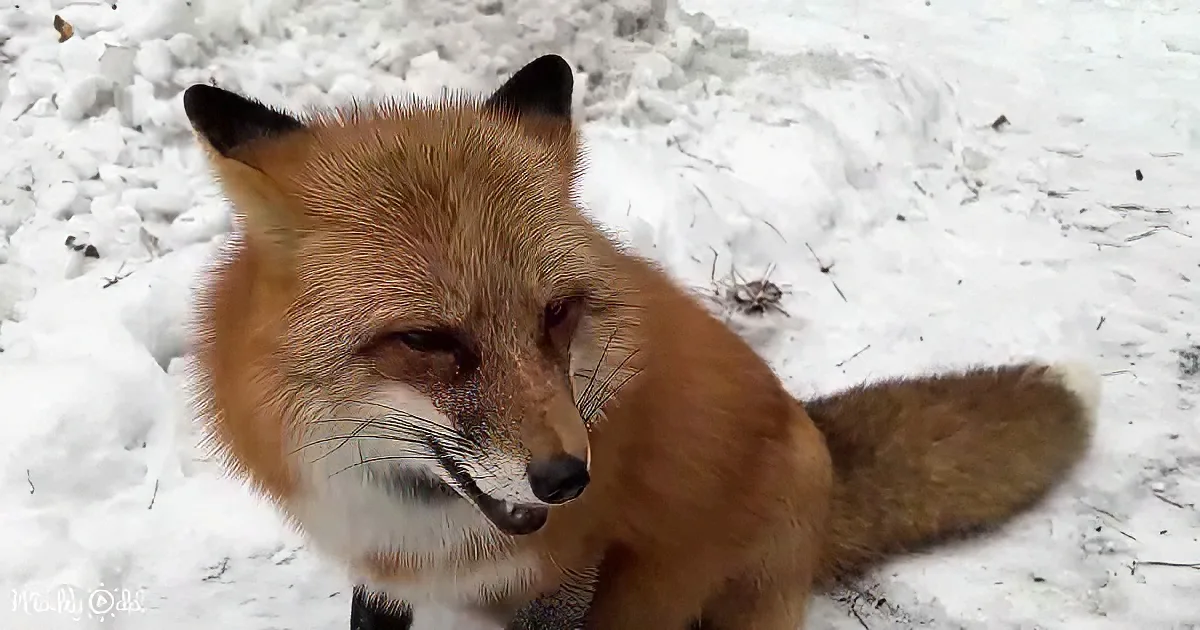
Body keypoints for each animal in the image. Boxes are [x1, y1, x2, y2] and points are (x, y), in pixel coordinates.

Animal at [182, 54, 1098, 630]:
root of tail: (810, 428)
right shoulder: (379, 570)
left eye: (557, 313)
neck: (422, 521)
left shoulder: (584, 564)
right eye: (426, 340)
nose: (567, 478)